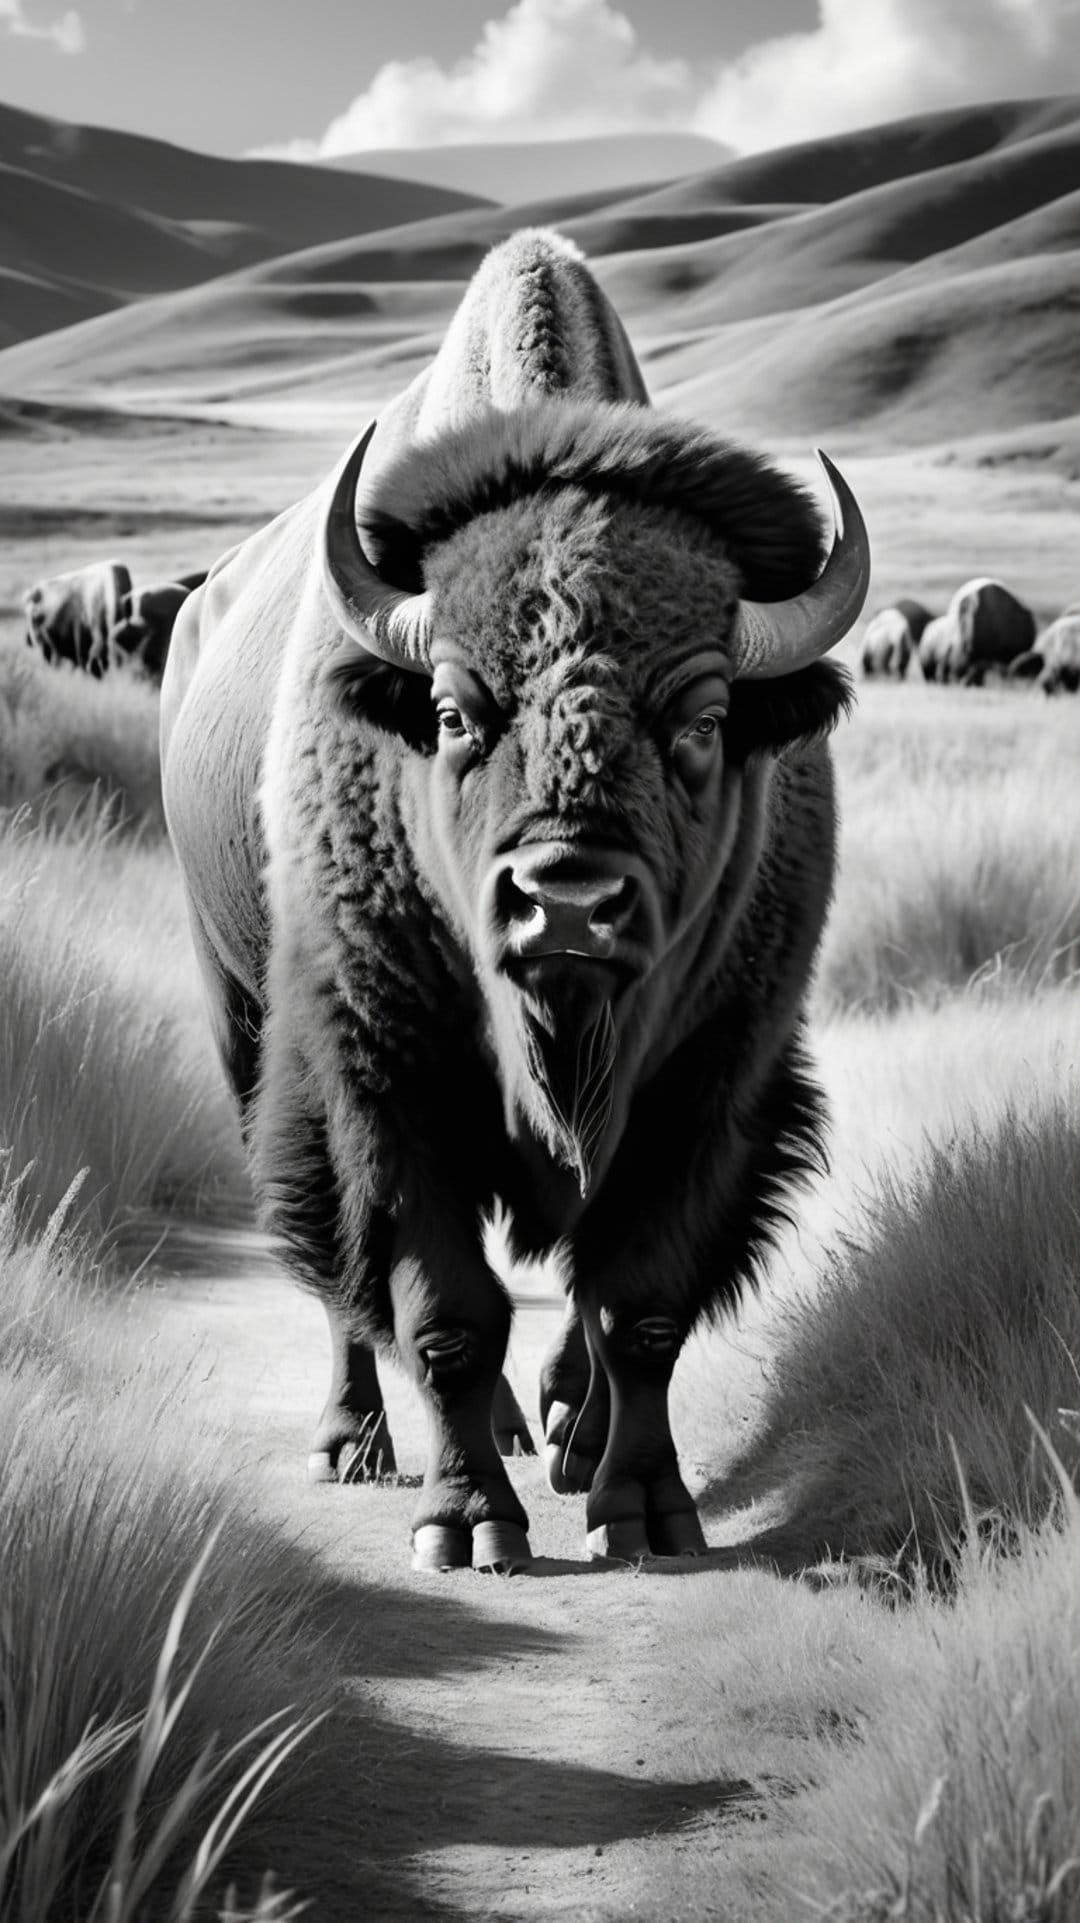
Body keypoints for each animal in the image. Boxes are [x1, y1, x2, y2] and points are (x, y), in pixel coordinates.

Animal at [161, 229, 870, 1573]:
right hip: (241, 1015)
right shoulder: (383, 1077)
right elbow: (443, 1306)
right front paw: (468, 1524)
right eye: (450, 712)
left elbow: (637, 1304)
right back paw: (358, 1444)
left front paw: (644, 1511)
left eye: (705, 720)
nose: (569, 902)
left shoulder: (711, 1085)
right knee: (346, 1292)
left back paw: (566, 1435)